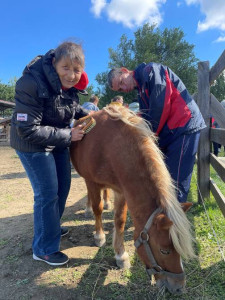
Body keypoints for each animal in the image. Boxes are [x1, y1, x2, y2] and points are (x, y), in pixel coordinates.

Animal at [70, 106, 195, 294]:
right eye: (164, 251)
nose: (179, 288)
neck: (109, 147)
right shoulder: (92, 182)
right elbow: (97, 209)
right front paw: (99, 236)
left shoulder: (122, 190)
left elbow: (120, 221)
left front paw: (120, 254)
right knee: (92, 199)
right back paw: (88, 209)